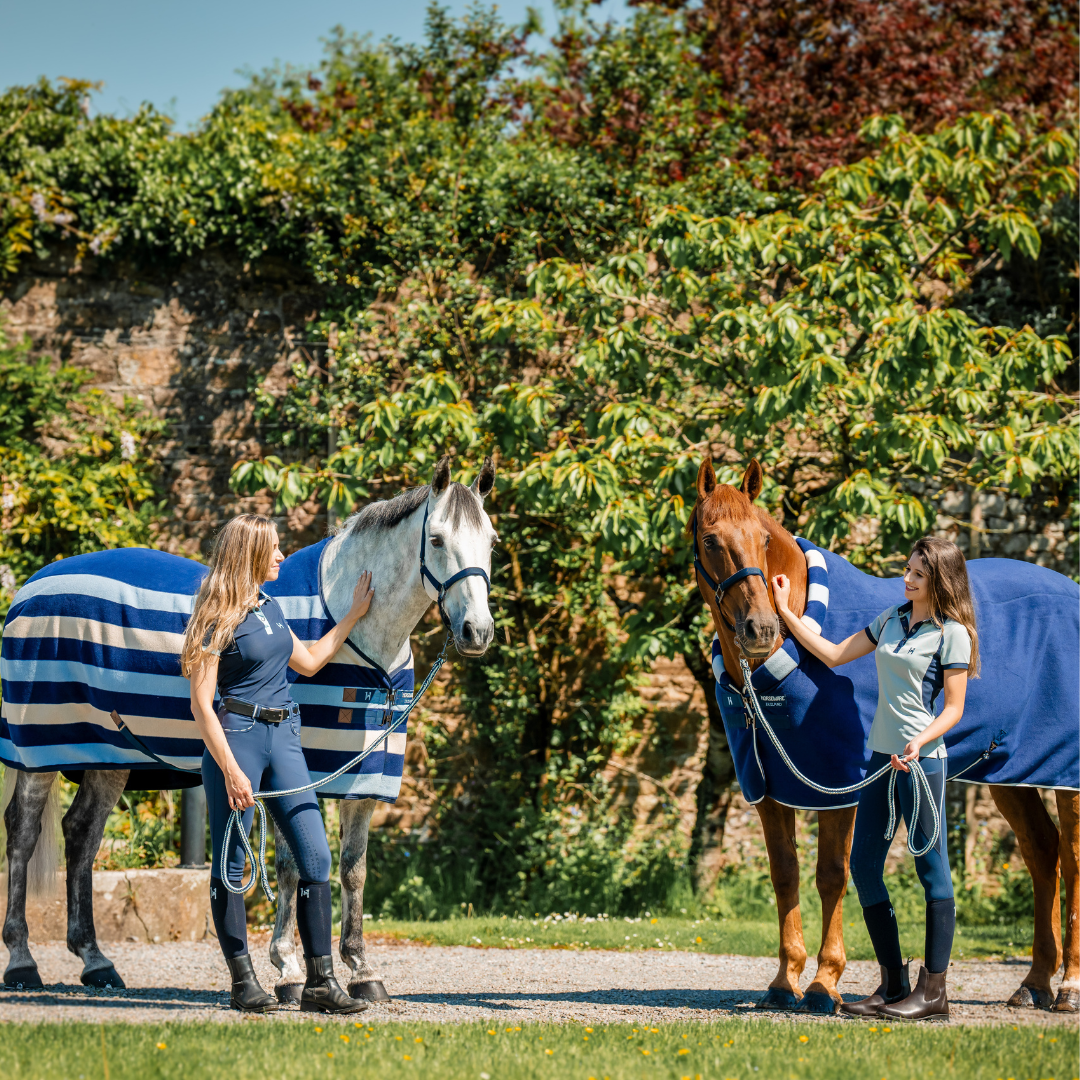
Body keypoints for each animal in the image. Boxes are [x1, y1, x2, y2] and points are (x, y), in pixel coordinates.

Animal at [1, 455, 497, 1000]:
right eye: (436, 539)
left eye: (492, 541)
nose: (477, 632)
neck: (363, 646)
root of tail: (30, 588)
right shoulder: (298, 776)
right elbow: (290, 867)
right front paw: (289, 970)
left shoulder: (365, 780)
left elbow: (353, 870)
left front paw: (362, 970)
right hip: (38, 748)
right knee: (23, 833)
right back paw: (23, 961)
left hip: (108, 755)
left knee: (81, 834)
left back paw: (95, 962)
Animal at [689, 456, 1079, 1014]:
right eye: (710, 540)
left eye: (761, 538)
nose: (761, 629)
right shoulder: (769, 788)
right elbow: (785, 873)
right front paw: (783, 982)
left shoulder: (838, 785)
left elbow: (832, 874)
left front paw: (824, 984)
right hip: (1008, 772)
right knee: (1043, 853)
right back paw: (1034, 983)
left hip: (1066, 774)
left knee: (1071, 859)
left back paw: (1067, 986)